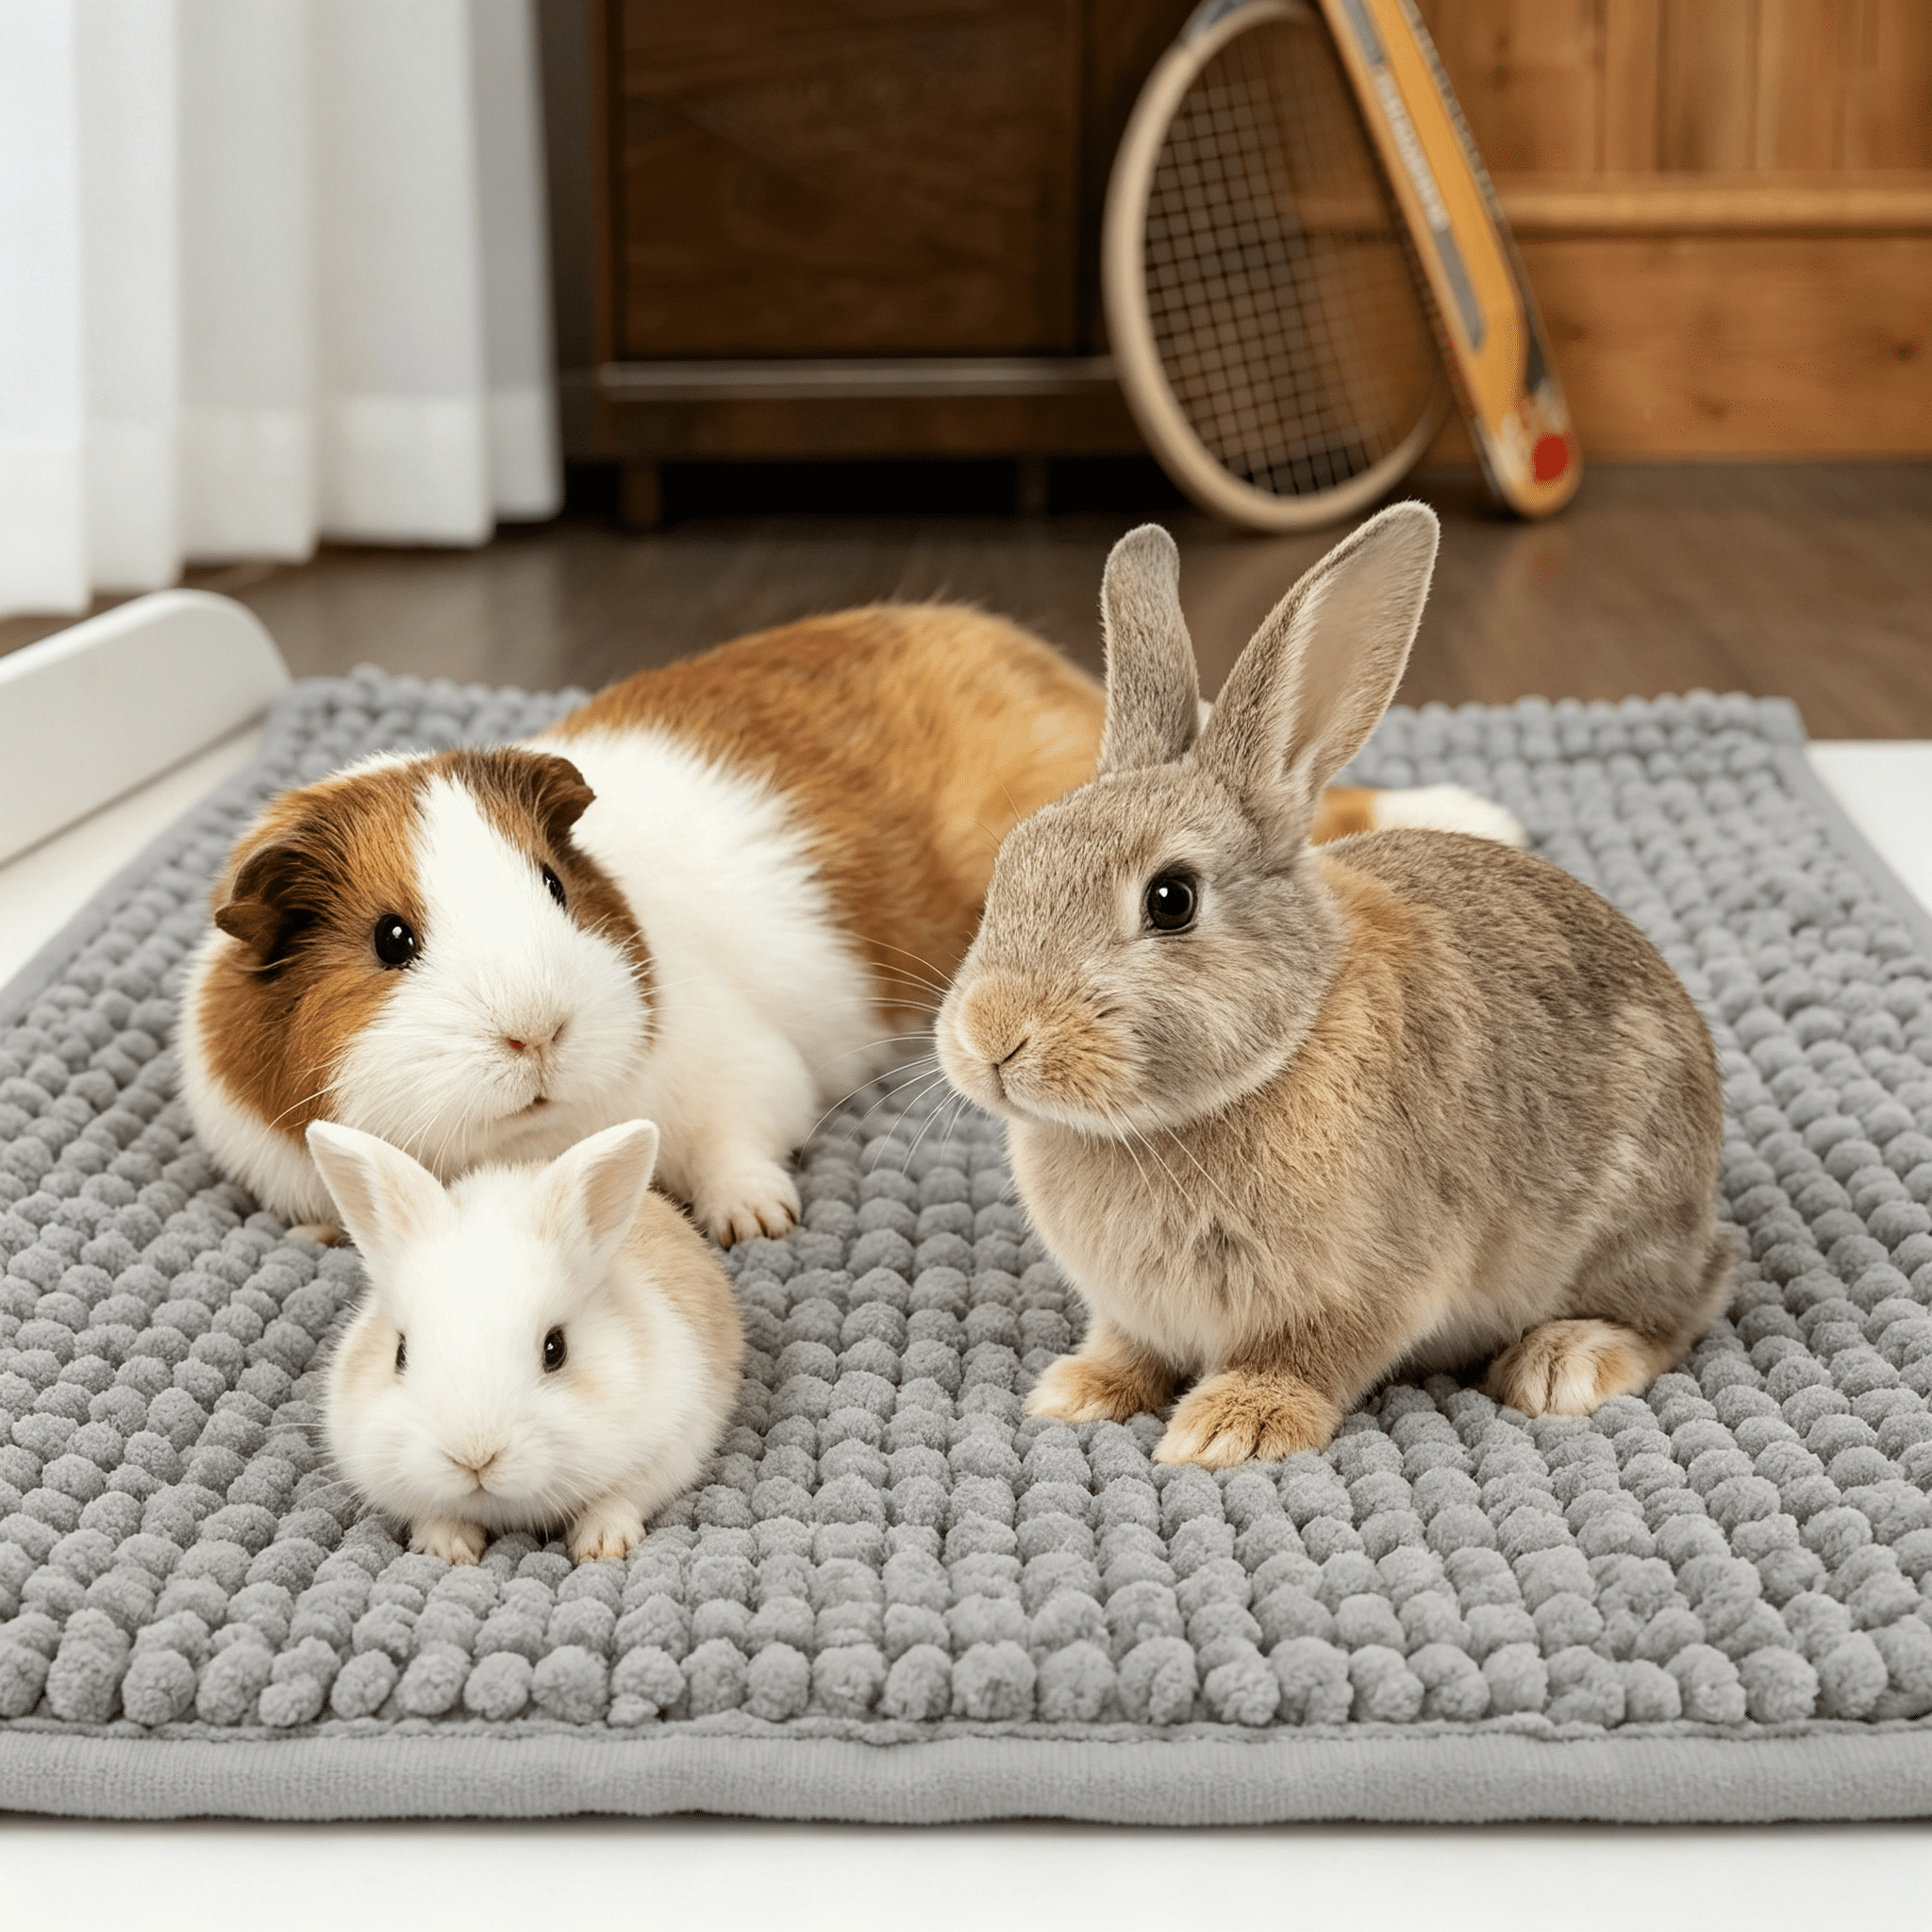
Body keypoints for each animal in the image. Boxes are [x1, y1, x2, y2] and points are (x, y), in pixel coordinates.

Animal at [179, 602, 1525, 1249]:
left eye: (554, 888)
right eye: (390, 940)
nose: (537, 1030)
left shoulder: (737, 1082)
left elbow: (737, 1147)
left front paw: (756, 1224)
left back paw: (1489, 814)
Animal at [313, 1115, 742, 1564]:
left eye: (555, 1349)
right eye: (399, 1353)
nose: (475, 1458)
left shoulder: (672, 1442)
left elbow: (621, 1498)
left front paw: (602, 1545)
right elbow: (432, 1513)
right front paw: (447, 1548)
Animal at [935, 506, 1730, 1468]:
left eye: (1171, 900)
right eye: (1012, 862)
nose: (993, 1036)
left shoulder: (1365, 1287)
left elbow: (1306, 1357)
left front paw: (1230, 1428)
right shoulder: (1137, 1312)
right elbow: (1128, 1349)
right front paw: (1078, 1394)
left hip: (1627, 1224)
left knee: (1685, 1306)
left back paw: (1563, 1363)